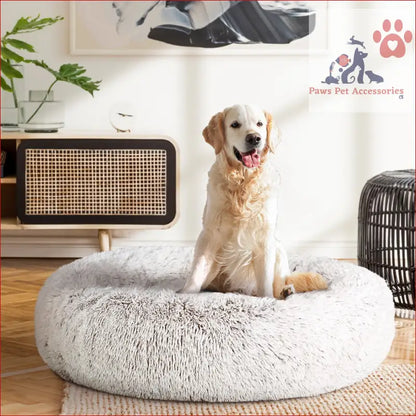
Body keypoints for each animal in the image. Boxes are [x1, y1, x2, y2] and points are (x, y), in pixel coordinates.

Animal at [180, 104, 328, 300]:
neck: (242, 183)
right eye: (235, 124)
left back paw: (286, 290)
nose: (254, 138)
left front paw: (267, 299)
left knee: (280, 282)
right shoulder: (210, 232)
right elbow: (198, 269)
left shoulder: (264, 238)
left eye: (259, 124)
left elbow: (265, 282)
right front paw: (185, 294)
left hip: (278, 249)